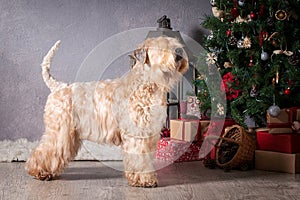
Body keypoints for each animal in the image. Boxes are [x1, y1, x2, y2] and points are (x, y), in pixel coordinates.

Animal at [27, 36, 189, 188]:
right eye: (161, 47)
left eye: (175, 44)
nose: (179, 54)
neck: (145, 85)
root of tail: (58, 86)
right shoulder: (137, 134)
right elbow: (140, 159)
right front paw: (144, 180)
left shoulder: (149, 134)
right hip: (59, 131)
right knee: (45, 150)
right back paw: (39, 172)